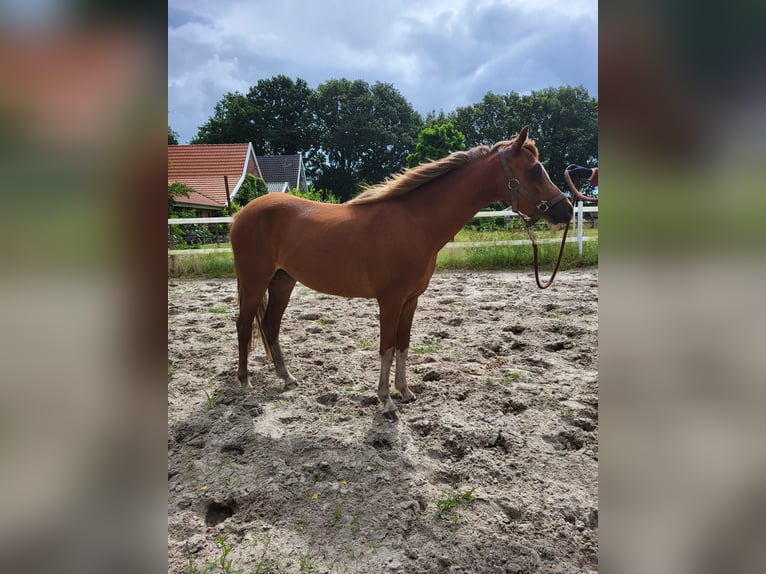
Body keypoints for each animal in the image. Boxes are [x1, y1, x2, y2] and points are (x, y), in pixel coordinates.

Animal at [231, 127, 572, 424]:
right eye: (534, 171)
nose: (566, 210)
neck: (416, 223)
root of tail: (242, 213)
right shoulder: (390, 301)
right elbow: (387, 347)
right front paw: (386, 403)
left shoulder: (410, 301)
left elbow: (403, 345)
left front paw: (405, 392)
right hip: (254, 282)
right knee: (244, 325)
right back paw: (244, 384)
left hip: (283, 281)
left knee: (270, 325)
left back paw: (287, 378)